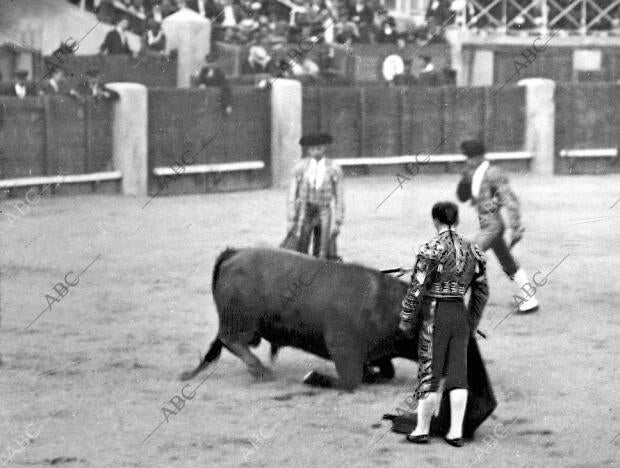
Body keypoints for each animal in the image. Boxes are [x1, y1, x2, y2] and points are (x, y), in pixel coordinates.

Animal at [182, 249, 496, 436]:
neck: (385, 305)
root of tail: (234, 254)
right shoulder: (343, 351)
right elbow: (351, 381)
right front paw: (314, 377)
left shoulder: (374, 354)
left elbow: (384, 371)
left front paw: (374, 374)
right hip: (242, 324)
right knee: (231, 340)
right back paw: (260, 370)